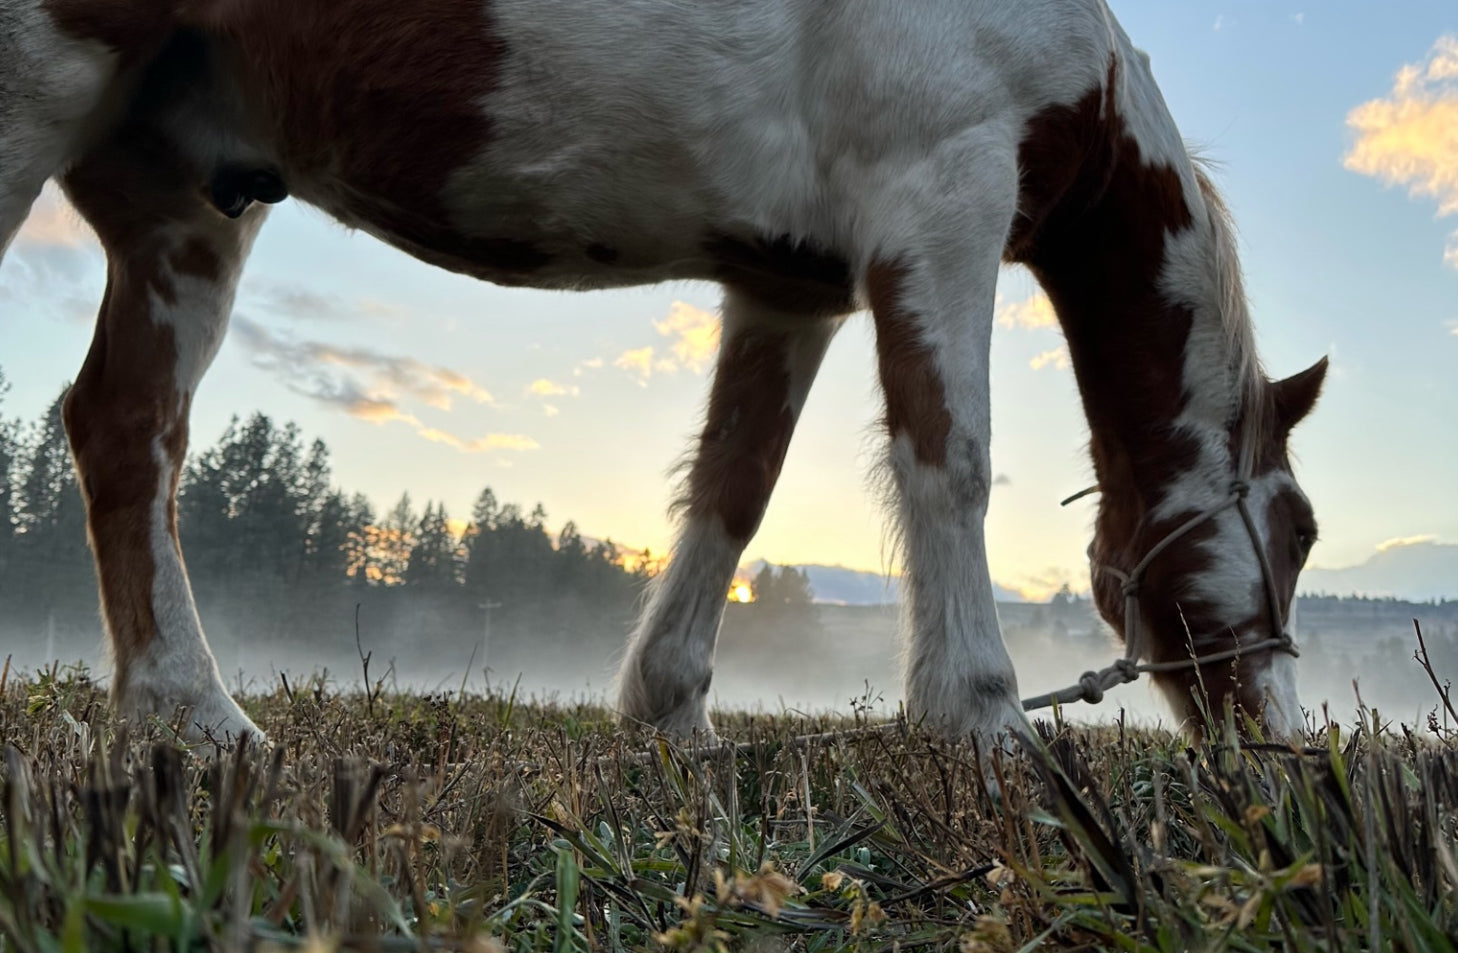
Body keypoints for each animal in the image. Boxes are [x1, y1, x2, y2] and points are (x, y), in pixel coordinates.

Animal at [1, 0, 1326, 746]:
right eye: (1302, 529)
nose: (1282, 745)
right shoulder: (942, 198)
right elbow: (948, 453)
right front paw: (984, 714)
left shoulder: (791, 284)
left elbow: (736, 485)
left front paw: (673, 706)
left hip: (180, 201)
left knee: (127, 429)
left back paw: (189, 714)